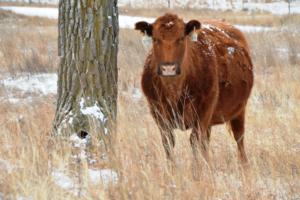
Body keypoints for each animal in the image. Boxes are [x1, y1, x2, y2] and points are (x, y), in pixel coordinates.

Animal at [135, 13, 254, 165]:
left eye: (181, 38)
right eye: (155, 39)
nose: (168, 68)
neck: (174, 91)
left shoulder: (203, 112)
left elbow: (195, 141)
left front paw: (196, 169)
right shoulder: (159, 113)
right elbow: (168, 142)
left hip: (239, 110)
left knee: (239, 138)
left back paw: (243, 164)